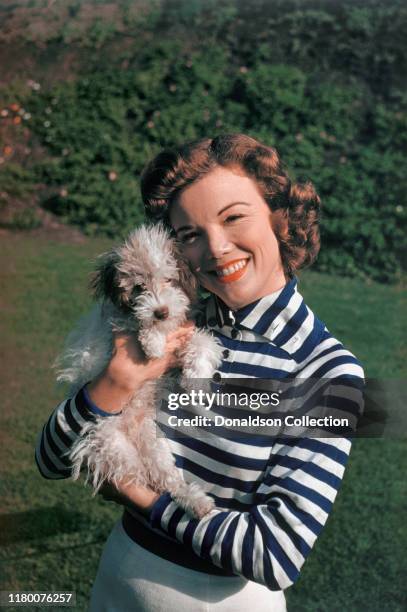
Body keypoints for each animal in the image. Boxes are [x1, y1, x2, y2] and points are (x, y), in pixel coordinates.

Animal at [55, 222, 222, 520]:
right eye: (138, 288)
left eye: (169, 280)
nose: (161, 312)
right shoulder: (120, 324)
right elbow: (141, 327)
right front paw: (153, 342)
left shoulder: (183, 332)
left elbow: (202, 342)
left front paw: (196, 377)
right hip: (111, 444)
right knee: (138, 474)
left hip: (156, 449)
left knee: (169, 483)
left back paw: (197, 502)